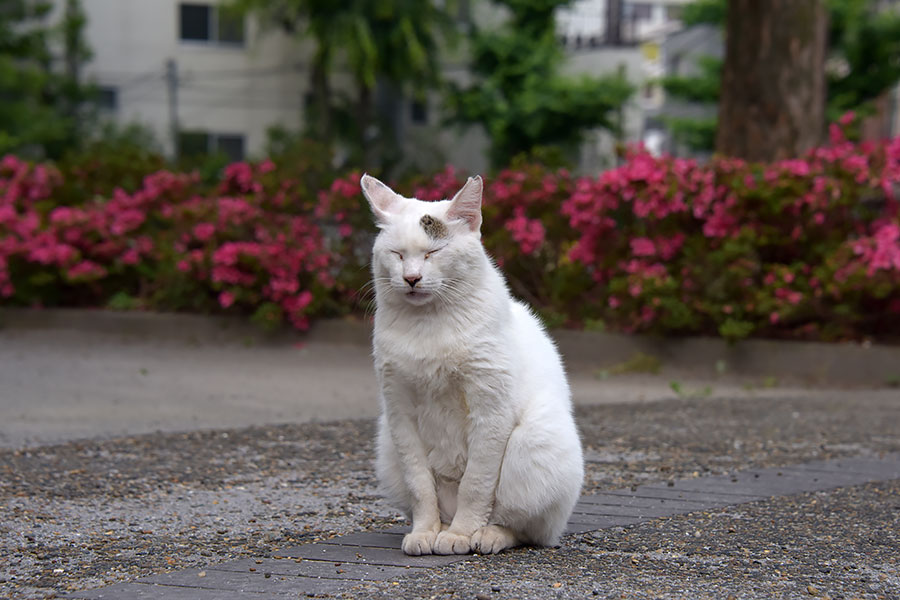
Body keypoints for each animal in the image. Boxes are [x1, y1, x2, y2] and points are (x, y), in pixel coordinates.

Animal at [358, 172, 584, 552]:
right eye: (398, 254)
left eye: (432, 252)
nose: (411, 278)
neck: (429, 324)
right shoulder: (399, 411)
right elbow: (420, 485)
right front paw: (424, 531)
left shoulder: (489, 408)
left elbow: (476, 484)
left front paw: (462, 534)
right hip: (387, 447)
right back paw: (442, 528)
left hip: (532, 442)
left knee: (522, 526)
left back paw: (484, 535)